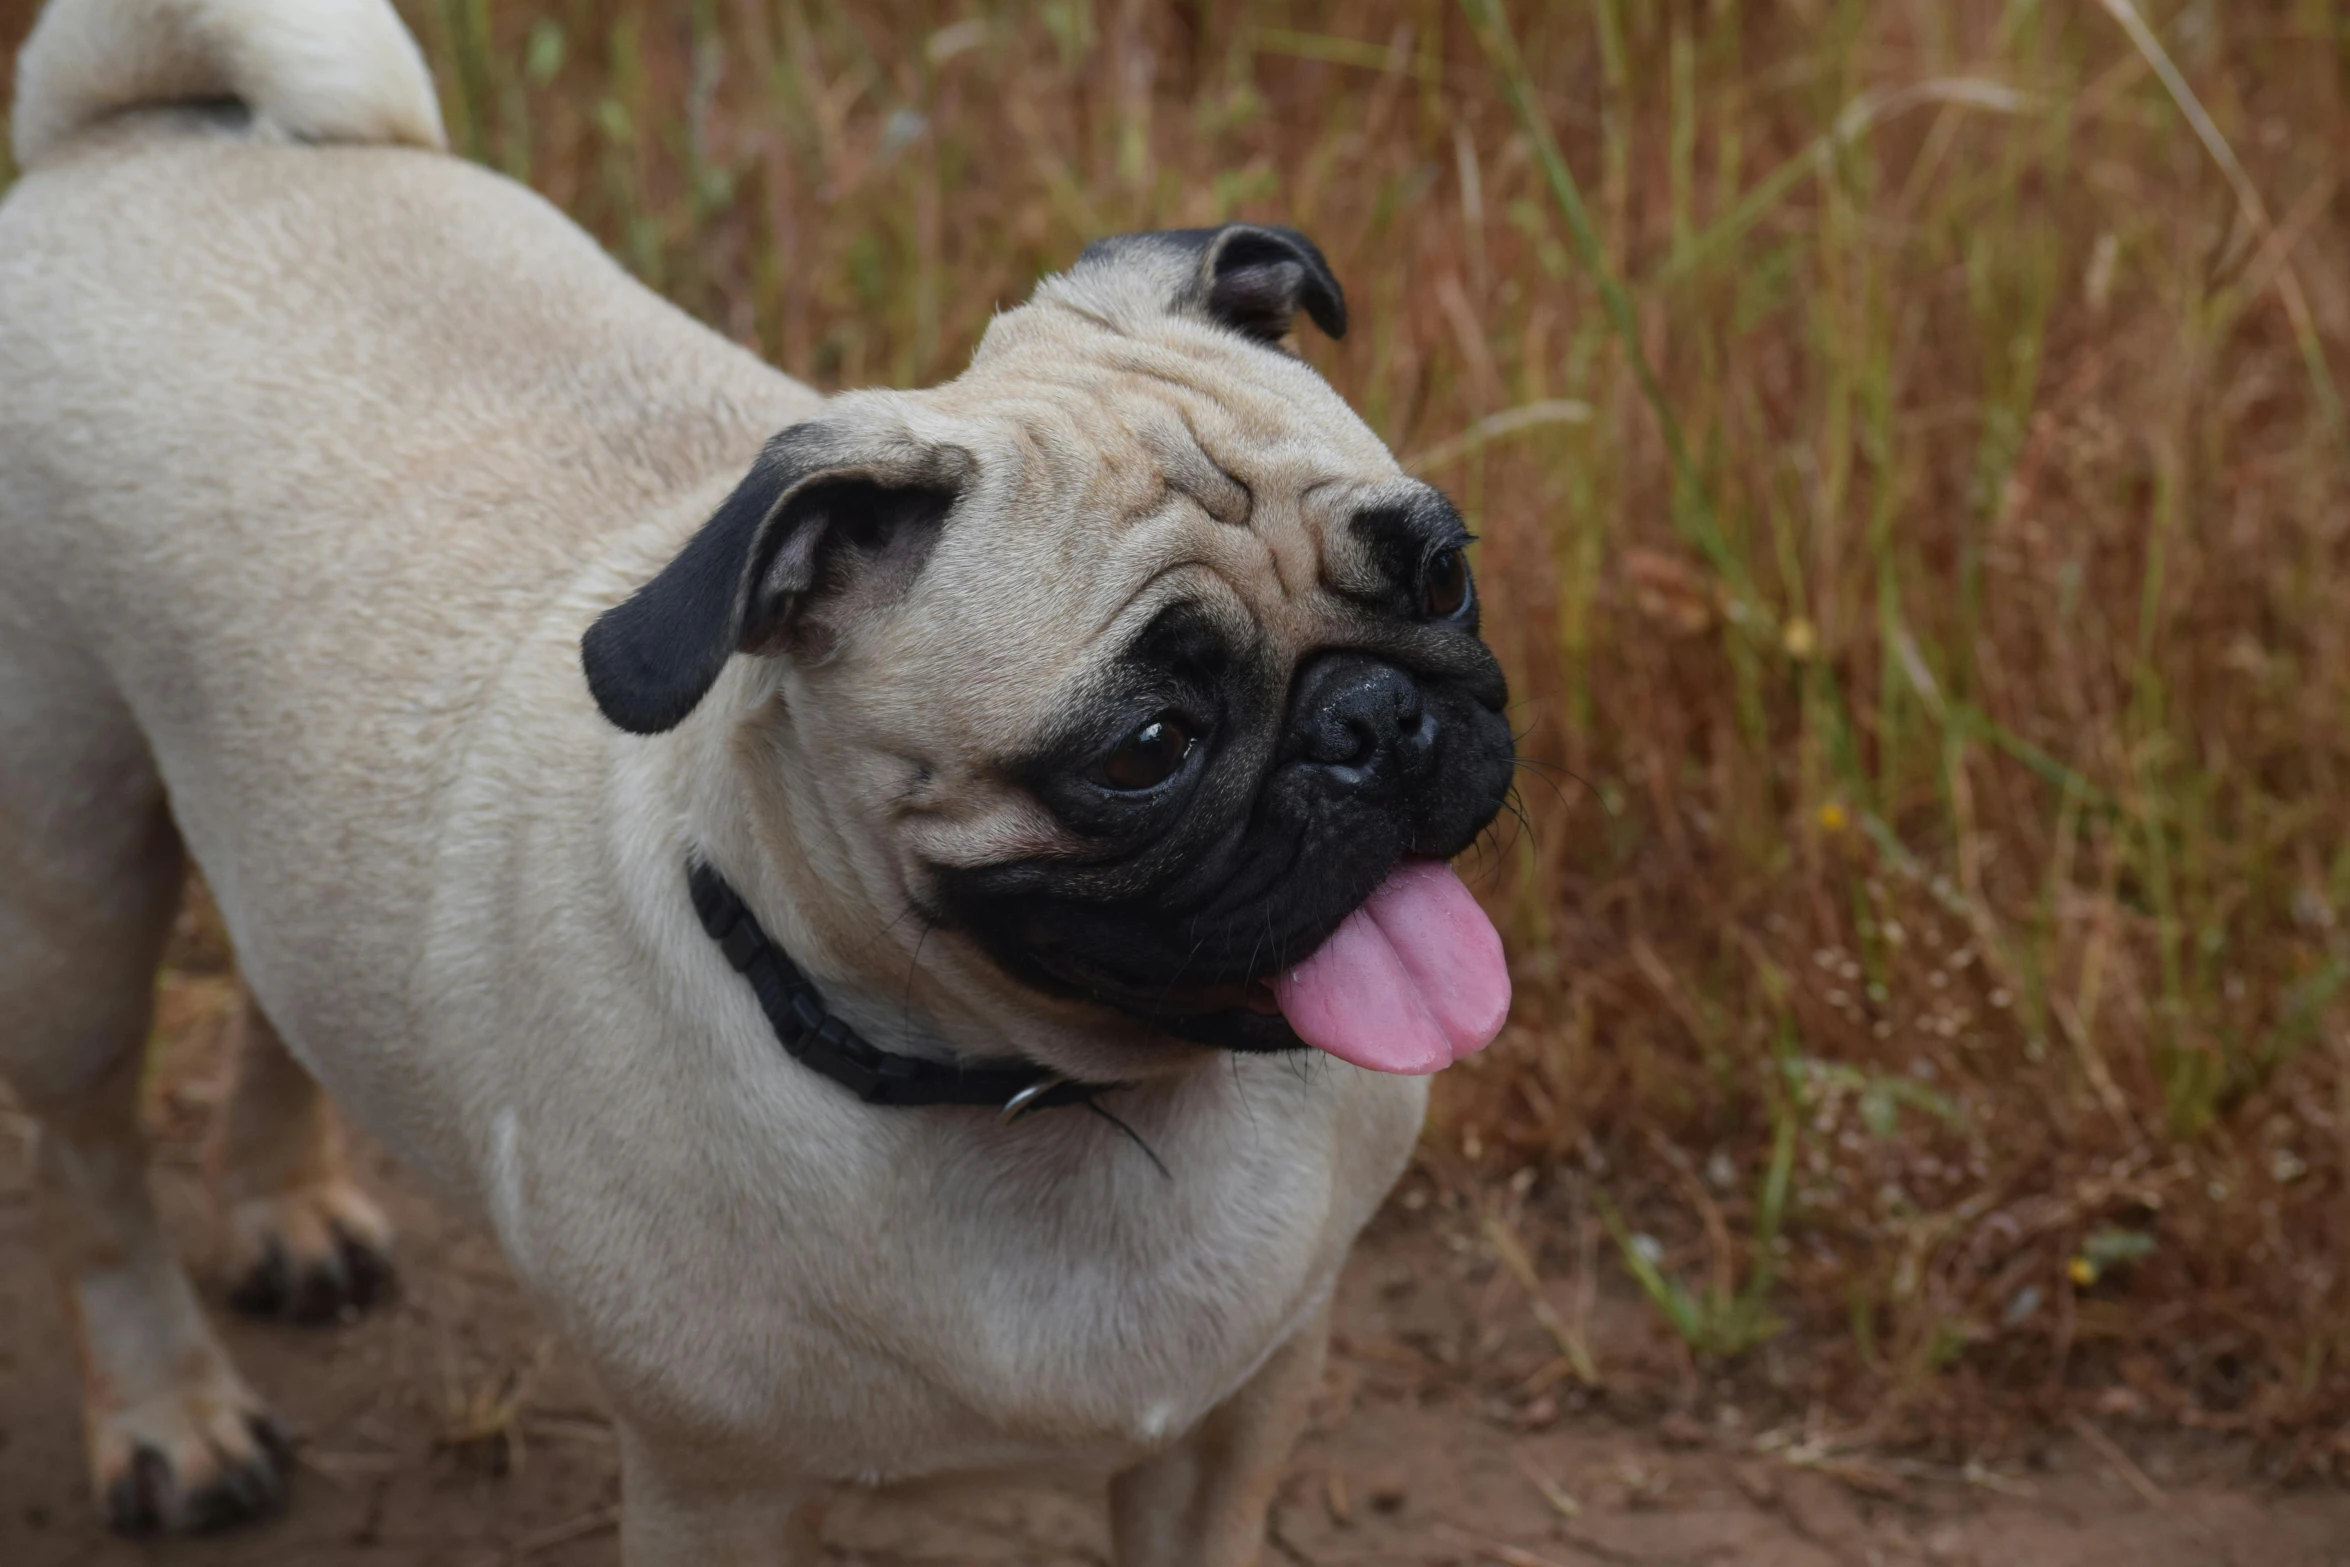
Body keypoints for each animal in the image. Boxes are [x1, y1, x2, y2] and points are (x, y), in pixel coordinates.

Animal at [0, 6, 1522, 1559]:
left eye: (1440, 577)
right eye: (1143, 749)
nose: (1373, 717)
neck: (1051, 1099)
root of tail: (138, 137)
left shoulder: (1237, 1420)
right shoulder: (714, 1489)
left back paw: (287, 1208)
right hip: (69, 874)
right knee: (86, 1158)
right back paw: (170, 1414)